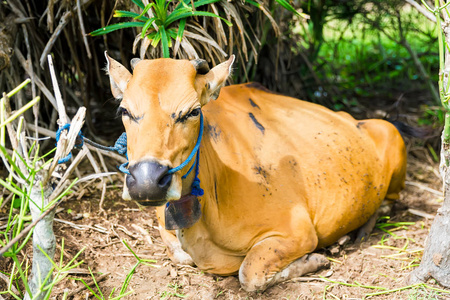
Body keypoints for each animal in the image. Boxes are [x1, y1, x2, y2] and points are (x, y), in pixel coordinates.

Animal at [105, 52, 408, 292]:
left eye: (192, 112)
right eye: (124, 111)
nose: (147, 181)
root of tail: (354, 119)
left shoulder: (297, 232)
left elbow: (248, 273)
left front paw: (313, 260)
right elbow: (179, 255)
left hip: (392, 136)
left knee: (387, 204)